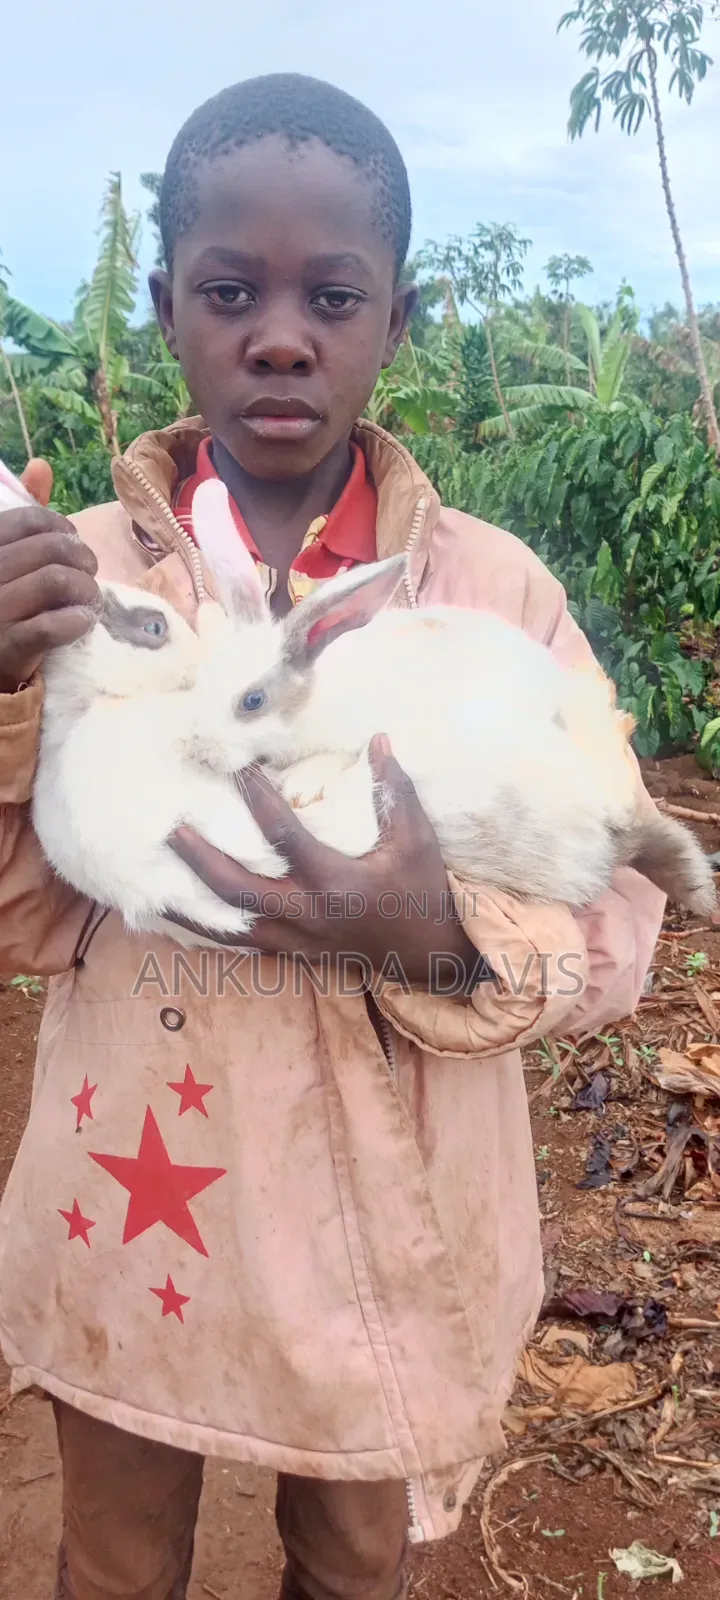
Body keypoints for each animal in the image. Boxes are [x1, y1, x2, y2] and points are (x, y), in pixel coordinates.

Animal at [187, 479, 717, 918]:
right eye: (200, 682)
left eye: (252, 701)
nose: (198, 751)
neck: (312, 700)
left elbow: (334, 759)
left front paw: (300, 785)